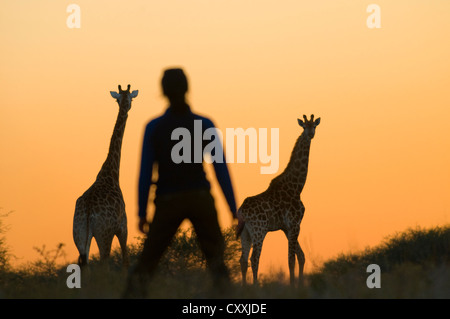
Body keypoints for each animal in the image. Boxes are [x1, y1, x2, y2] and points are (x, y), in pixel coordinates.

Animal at [72, 84, 138, 266]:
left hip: (79, 235)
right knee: (104, 262)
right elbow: (126, 260)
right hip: (104, 234)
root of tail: (88, 213)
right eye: (129, 99)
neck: (111, 173)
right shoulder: (123, 227)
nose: (127, 107)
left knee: (84, 263)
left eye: (120, 99)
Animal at [236, 115, 320, 288]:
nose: (310, 134)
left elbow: (300, 256)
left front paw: (299, 285)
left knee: (243, 260)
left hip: (245, 233)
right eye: (304, 126)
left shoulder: (286, 227)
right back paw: (255, 288)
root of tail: (242, 211)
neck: (297, 186)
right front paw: (294, 287)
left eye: (314, 125)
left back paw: (244, 289)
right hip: (259, 230)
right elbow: (291, 259)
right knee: (254, 258)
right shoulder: (294, 223)